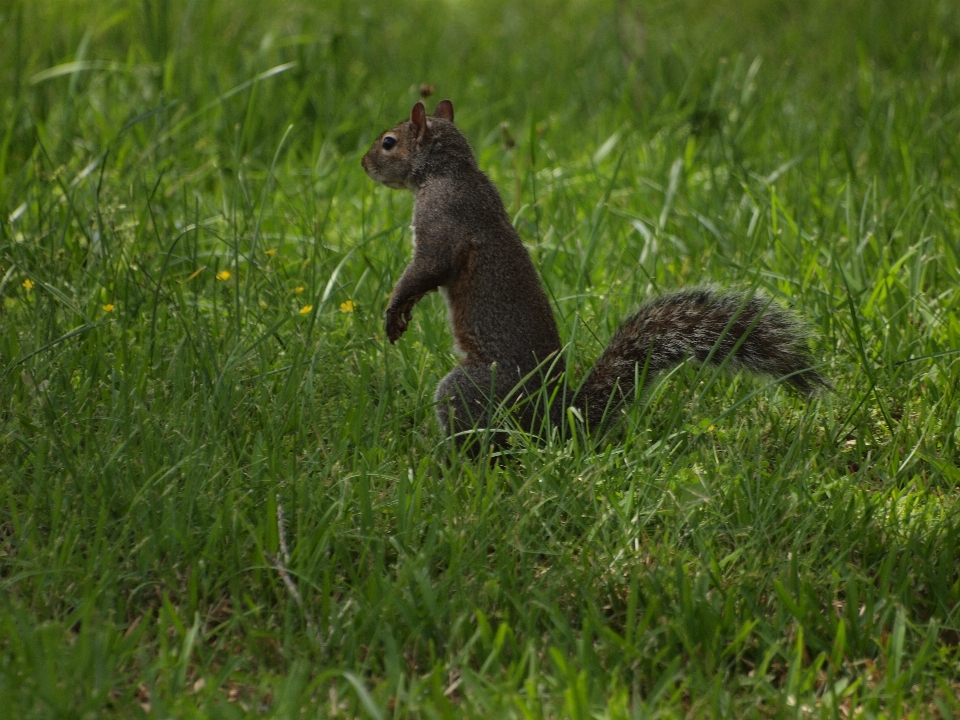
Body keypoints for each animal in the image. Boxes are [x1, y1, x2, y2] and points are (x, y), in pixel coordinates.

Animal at [360, 100, 824, 450]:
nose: (364, 164)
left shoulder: (443, 222)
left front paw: (395, 310)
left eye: (389, 142)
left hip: (471, 388)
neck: (448, 171)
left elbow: (427, 269)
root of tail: (554, 425)